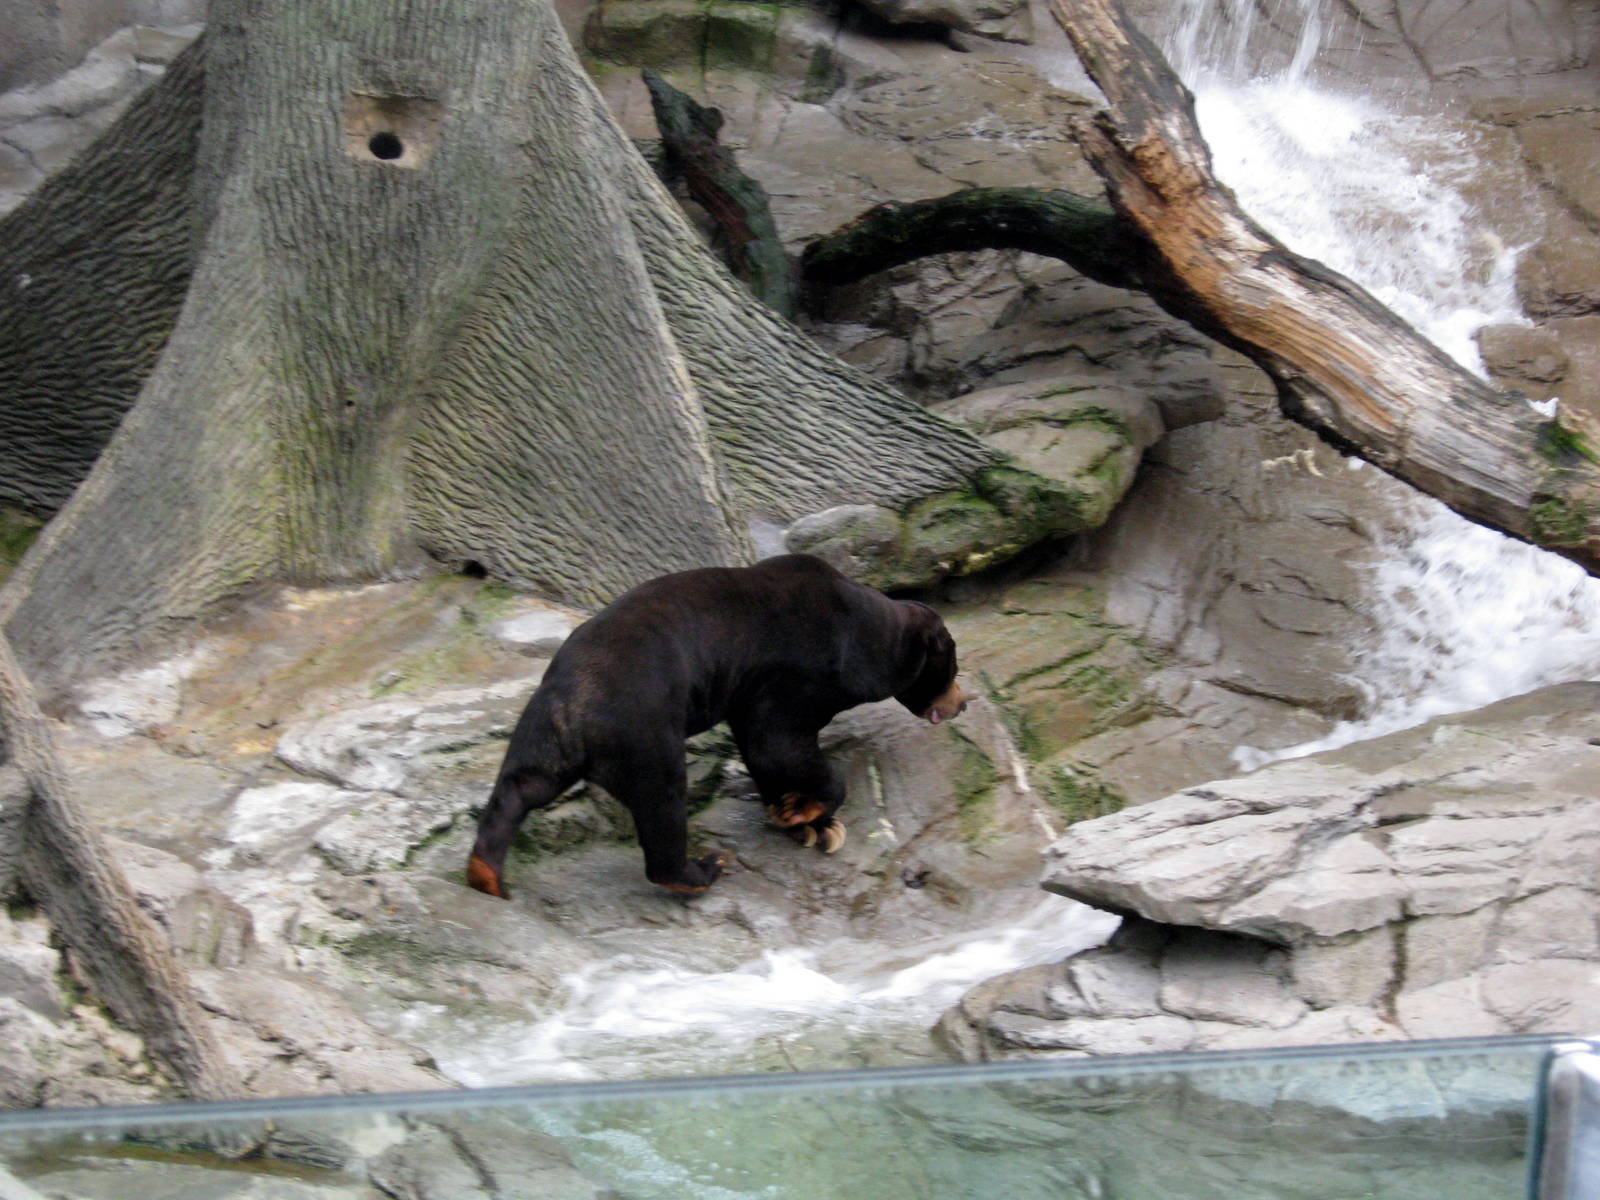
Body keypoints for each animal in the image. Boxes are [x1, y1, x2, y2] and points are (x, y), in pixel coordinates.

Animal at [466, 553, 968, 898]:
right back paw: (704, 868)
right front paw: (815, 818)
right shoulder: (798, 671)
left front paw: (799, 819)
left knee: (520, 788)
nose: (962, 704)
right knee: (663, 800)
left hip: (543, 733)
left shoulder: (750, 692)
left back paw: (486, 875)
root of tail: (574, 707)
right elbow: (777, 743)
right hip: (644, 729)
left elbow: (762, 750)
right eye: (951, 669)